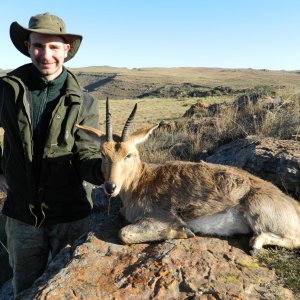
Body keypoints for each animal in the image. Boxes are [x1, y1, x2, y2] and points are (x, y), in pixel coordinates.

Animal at [77, 99, 300, 254]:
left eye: (128, 154)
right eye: (103, 154)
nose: (110, 187)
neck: (141, 181)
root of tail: (293, 205)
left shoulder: (161, 217)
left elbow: (123, 233)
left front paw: (184, 231)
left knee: (292, 239)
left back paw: (255, 245)